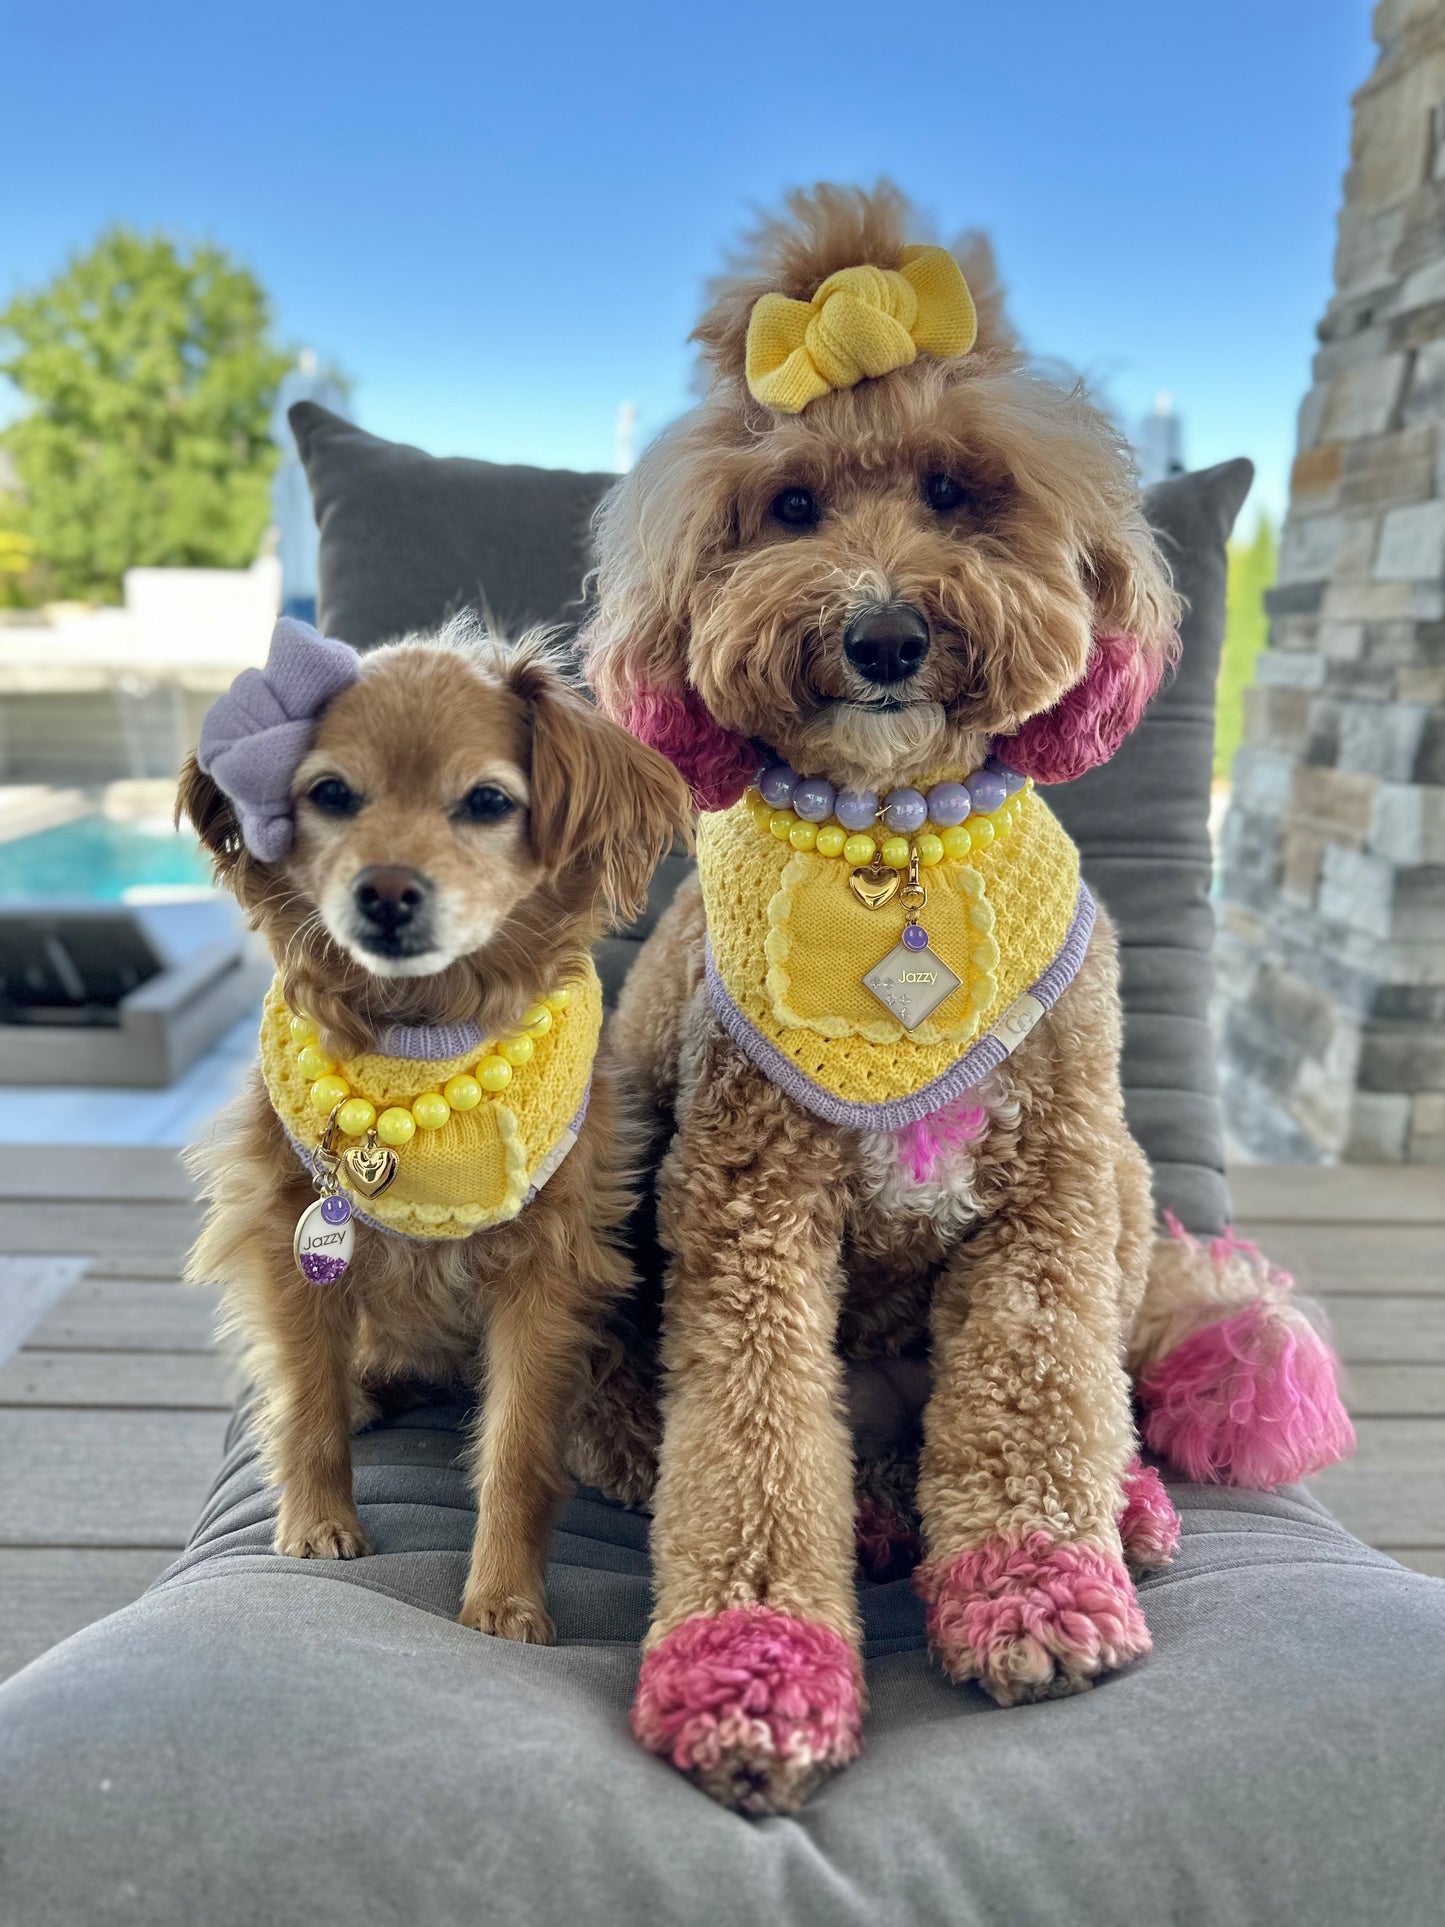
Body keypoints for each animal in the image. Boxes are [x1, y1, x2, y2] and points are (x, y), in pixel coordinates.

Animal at [181, 616, 689, 1641]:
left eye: (488, 801)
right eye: (330, 794)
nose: (384, 890)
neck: (421, 1037)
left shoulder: (547, 1273)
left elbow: (518, 1452)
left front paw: (504, 1599)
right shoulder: (286, 1235)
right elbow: (307, 1405)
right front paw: (318, 1522)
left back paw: (617, 1437)